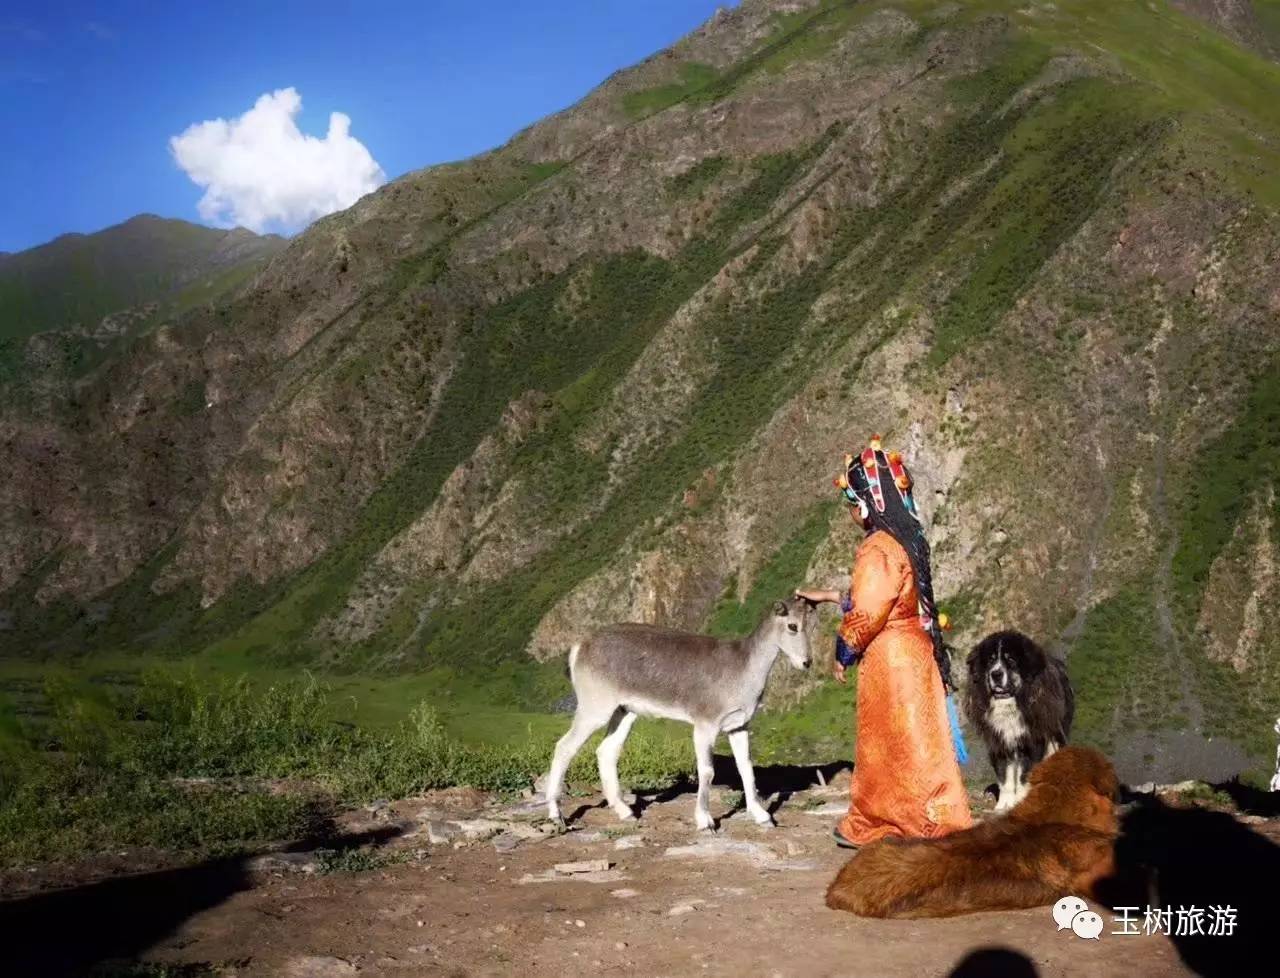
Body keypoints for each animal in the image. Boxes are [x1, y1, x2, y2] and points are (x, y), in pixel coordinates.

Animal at [545, 596, 814, 834]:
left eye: (811, 625)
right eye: (792, 626)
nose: (806, 662)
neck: (742, 670)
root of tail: (579, 648)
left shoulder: (738, 726)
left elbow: (746, 767)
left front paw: (763, 817)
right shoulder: (705, 725)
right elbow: (707, 771)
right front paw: (705, 822)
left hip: (624, 712)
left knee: (606, 751)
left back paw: (626, 812)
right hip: (594, 708)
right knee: (564, 747)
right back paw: (556, 815)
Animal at [962, 634, 1075, 809]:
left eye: (1011, 660)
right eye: (990, 661)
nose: (996, 674)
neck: (1009, 706)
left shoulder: (1031, 742)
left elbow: (1024, 777)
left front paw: (1021, 801)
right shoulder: (1000, 743)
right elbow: (1005, 778)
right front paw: (1003, 804)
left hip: (1057, 732)